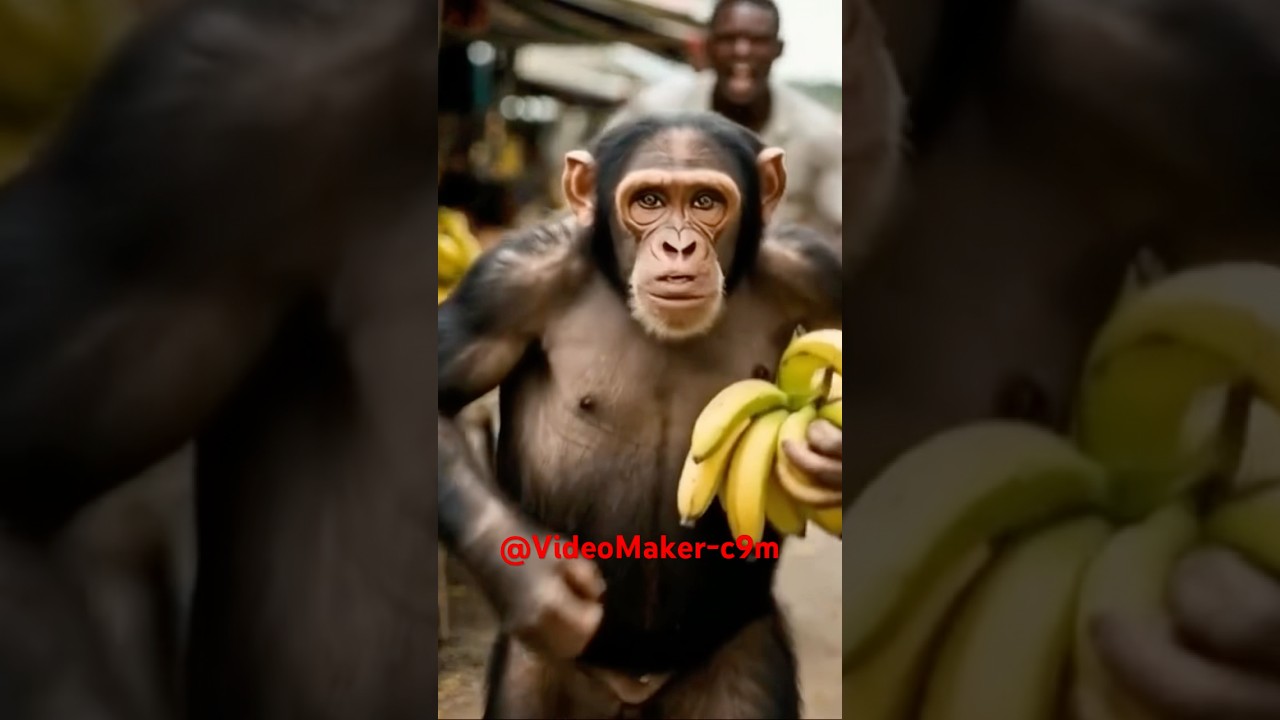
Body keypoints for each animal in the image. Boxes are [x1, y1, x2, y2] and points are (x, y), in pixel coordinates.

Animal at [436, 112, 843, 719]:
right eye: (649, 201)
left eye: (705, 201)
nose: (678, 246)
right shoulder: (504, 285)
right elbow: (436, 402)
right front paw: (539, 586)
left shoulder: (817, 268)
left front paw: (828, 461)